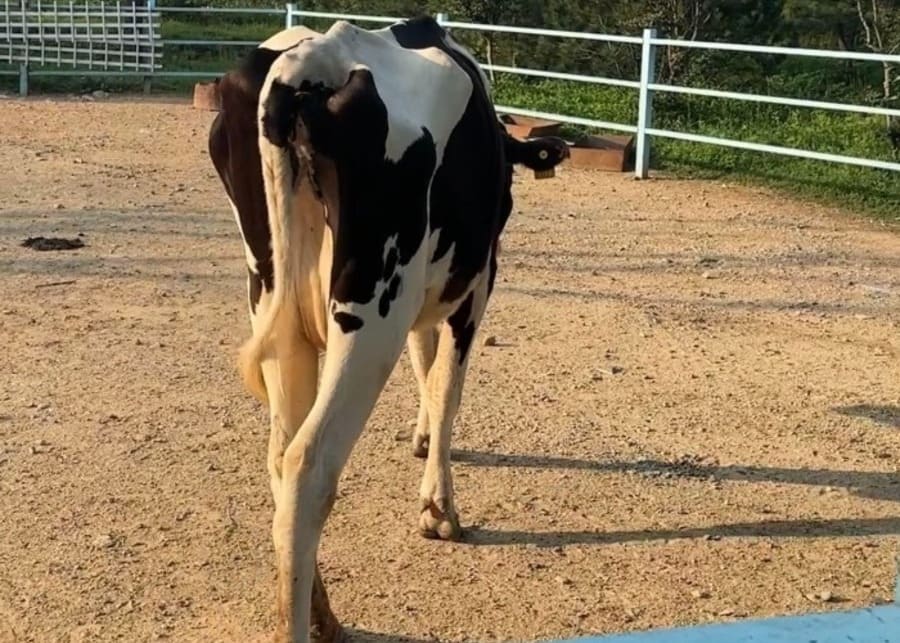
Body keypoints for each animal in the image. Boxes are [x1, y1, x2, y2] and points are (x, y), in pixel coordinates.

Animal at [208, 17, 568, 643]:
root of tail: (309, 61)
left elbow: (424, 360)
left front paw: (421, 440)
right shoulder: (477, 283)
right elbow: (447, 384)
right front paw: (439, 509)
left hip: (275, 305)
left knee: (279, 455)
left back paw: (322, 614)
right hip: (371, 308)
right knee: (308, 463)